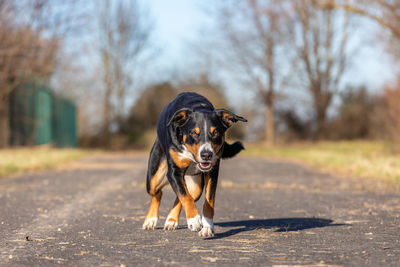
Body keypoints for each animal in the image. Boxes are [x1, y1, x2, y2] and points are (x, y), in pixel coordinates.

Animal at [141, 92, 247, 239]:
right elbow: (184, 196)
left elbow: (206, 202)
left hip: (196, 186)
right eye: (193, 133)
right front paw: (194, 220)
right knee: (158, 193)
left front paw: (207, 227)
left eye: (215, 133)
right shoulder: (173, 172)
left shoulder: (212, 172)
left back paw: (171, 220)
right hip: (153, 179)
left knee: (183, 195)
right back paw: (151, 220)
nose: (206, 154)